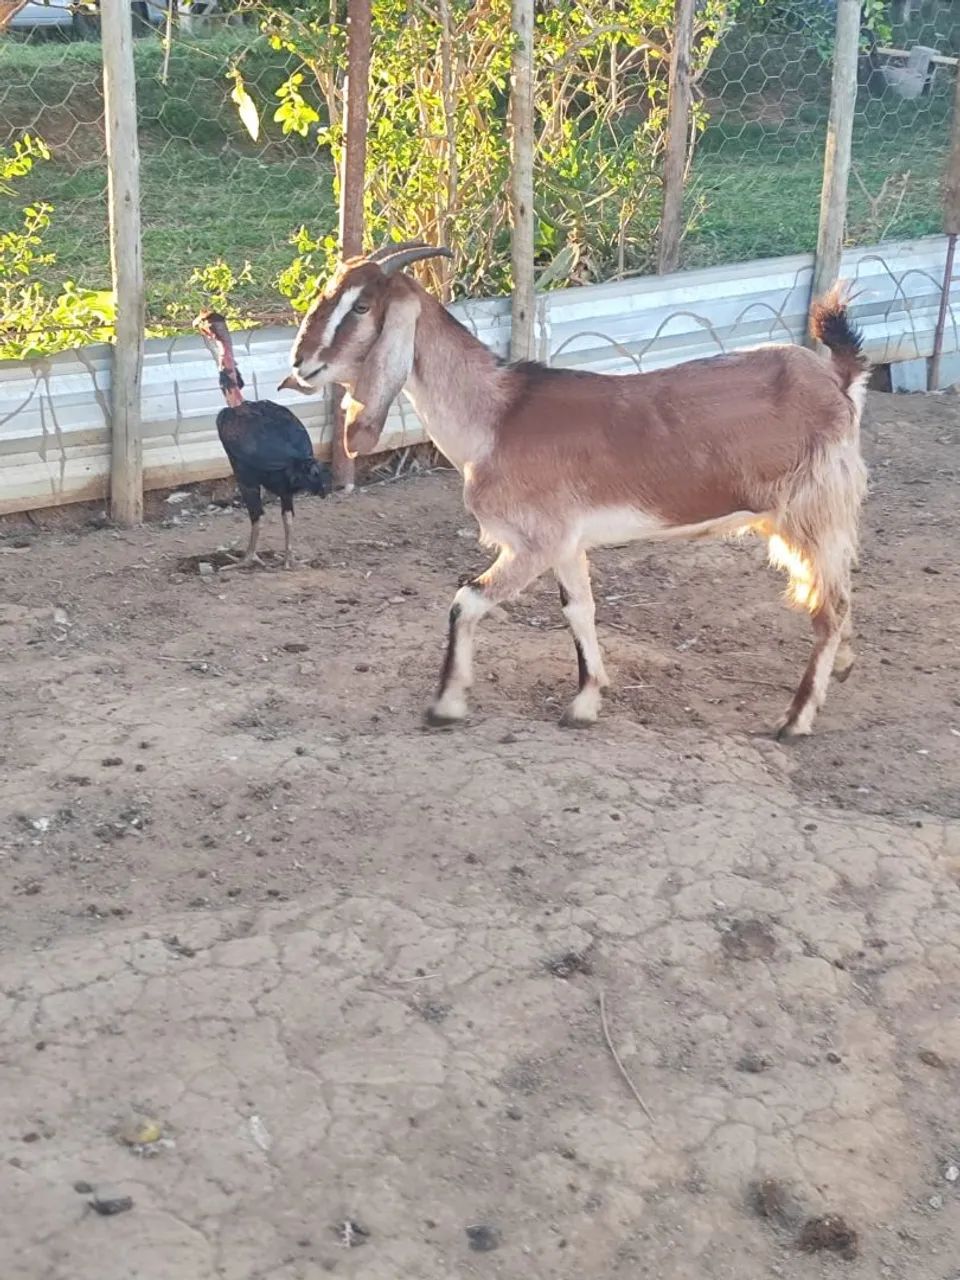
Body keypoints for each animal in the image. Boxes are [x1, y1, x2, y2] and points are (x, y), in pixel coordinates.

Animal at [280, 242, 868, 739]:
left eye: (360, 306)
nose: (299, 363)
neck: (495, 419)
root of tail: (835, 379)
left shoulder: (535, 542)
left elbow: (466, 599)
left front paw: (445, 705)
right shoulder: (566, 545)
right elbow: (578, 610)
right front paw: (585, 703)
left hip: (812, 510)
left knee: (831, 605)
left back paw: (795, 719)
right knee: (835, 592)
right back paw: (842, 665)